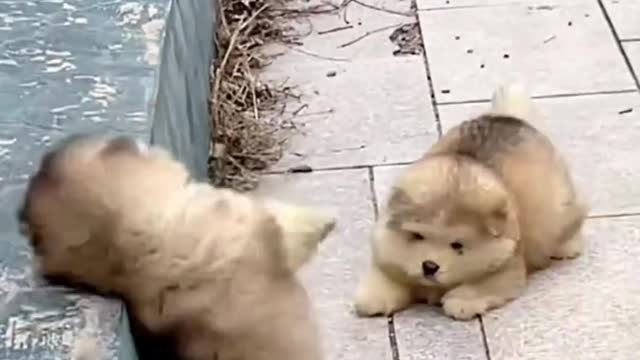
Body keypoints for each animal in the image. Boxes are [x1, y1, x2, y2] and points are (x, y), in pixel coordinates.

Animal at [352, 84, 588, 320]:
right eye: (417, 236)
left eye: (458, 245)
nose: (429, 266)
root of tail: (511, 117)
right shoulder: (387, 255)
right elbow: (387, 276)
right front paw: (373, 299)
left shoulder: (506, 269)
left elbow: (480, 285)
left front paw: (461, 302)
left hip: (557, 209)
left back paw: (566, 248)